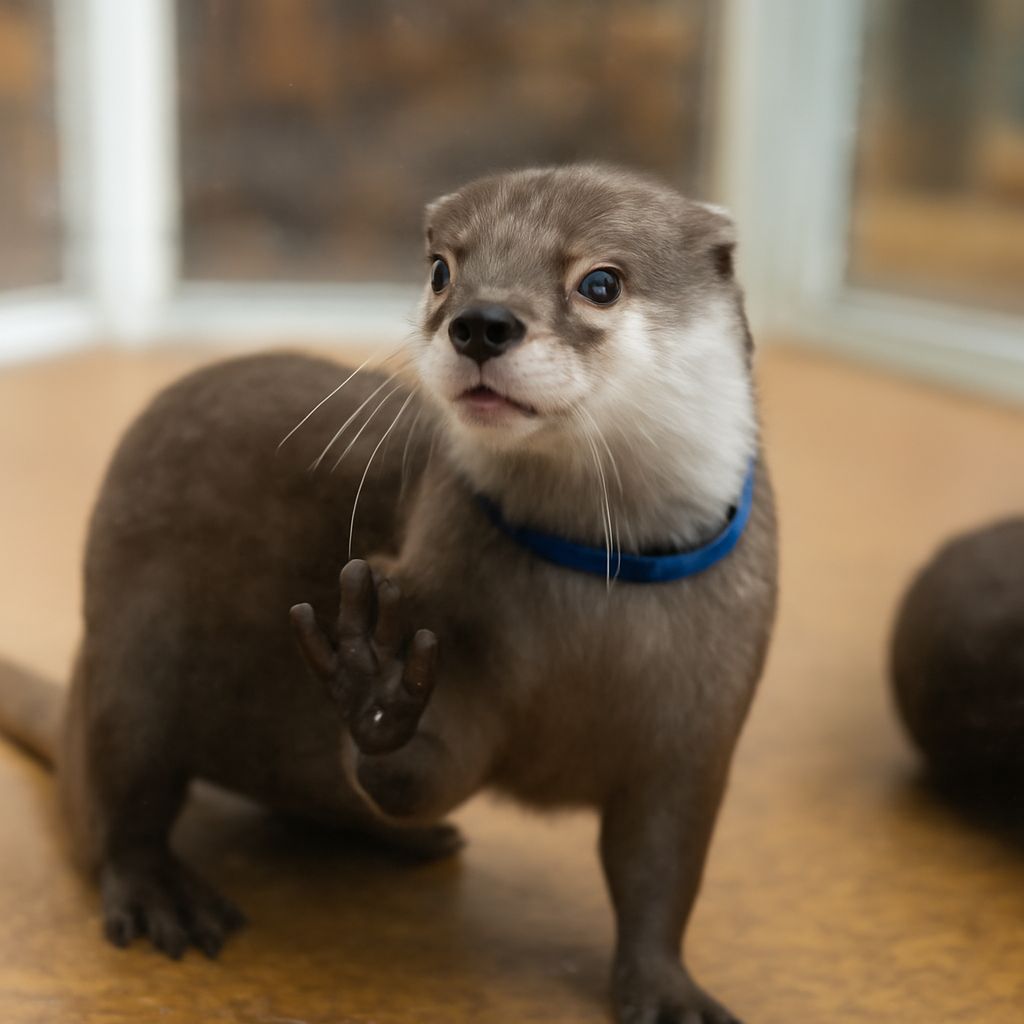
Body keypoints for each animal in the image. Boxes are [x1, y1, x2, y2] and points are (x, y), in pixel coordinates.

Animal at [0, 165, 777, 1024]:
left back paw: (404, 841)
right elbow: (427, 769)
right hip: (130, 656)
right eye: (441, 269)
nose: (481, 322)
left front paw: (669, 989)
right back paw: (159, 893)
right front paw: (374, 695)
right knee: (119, 808)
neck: (596, 613)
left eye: (599, 282)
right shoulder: (455, 618)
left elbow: (662, 872)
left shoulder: (700, 733)